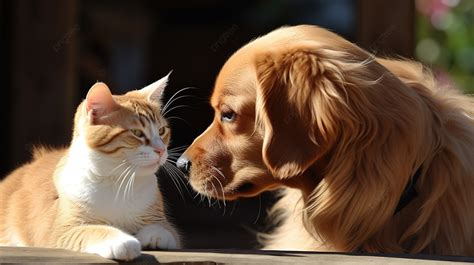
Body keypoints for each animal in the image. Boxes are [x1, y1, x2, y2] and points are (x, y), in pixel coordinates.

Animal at [0, 73, 181, 258]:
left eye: (162, 131)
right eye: (137, 133)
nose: (161, 150)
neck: (117, 180)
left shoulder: (164, 223)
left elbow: (164, 231)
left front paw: (151, 236)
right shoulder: (60, 230)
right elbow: (92, 230)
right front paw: (123, 241)